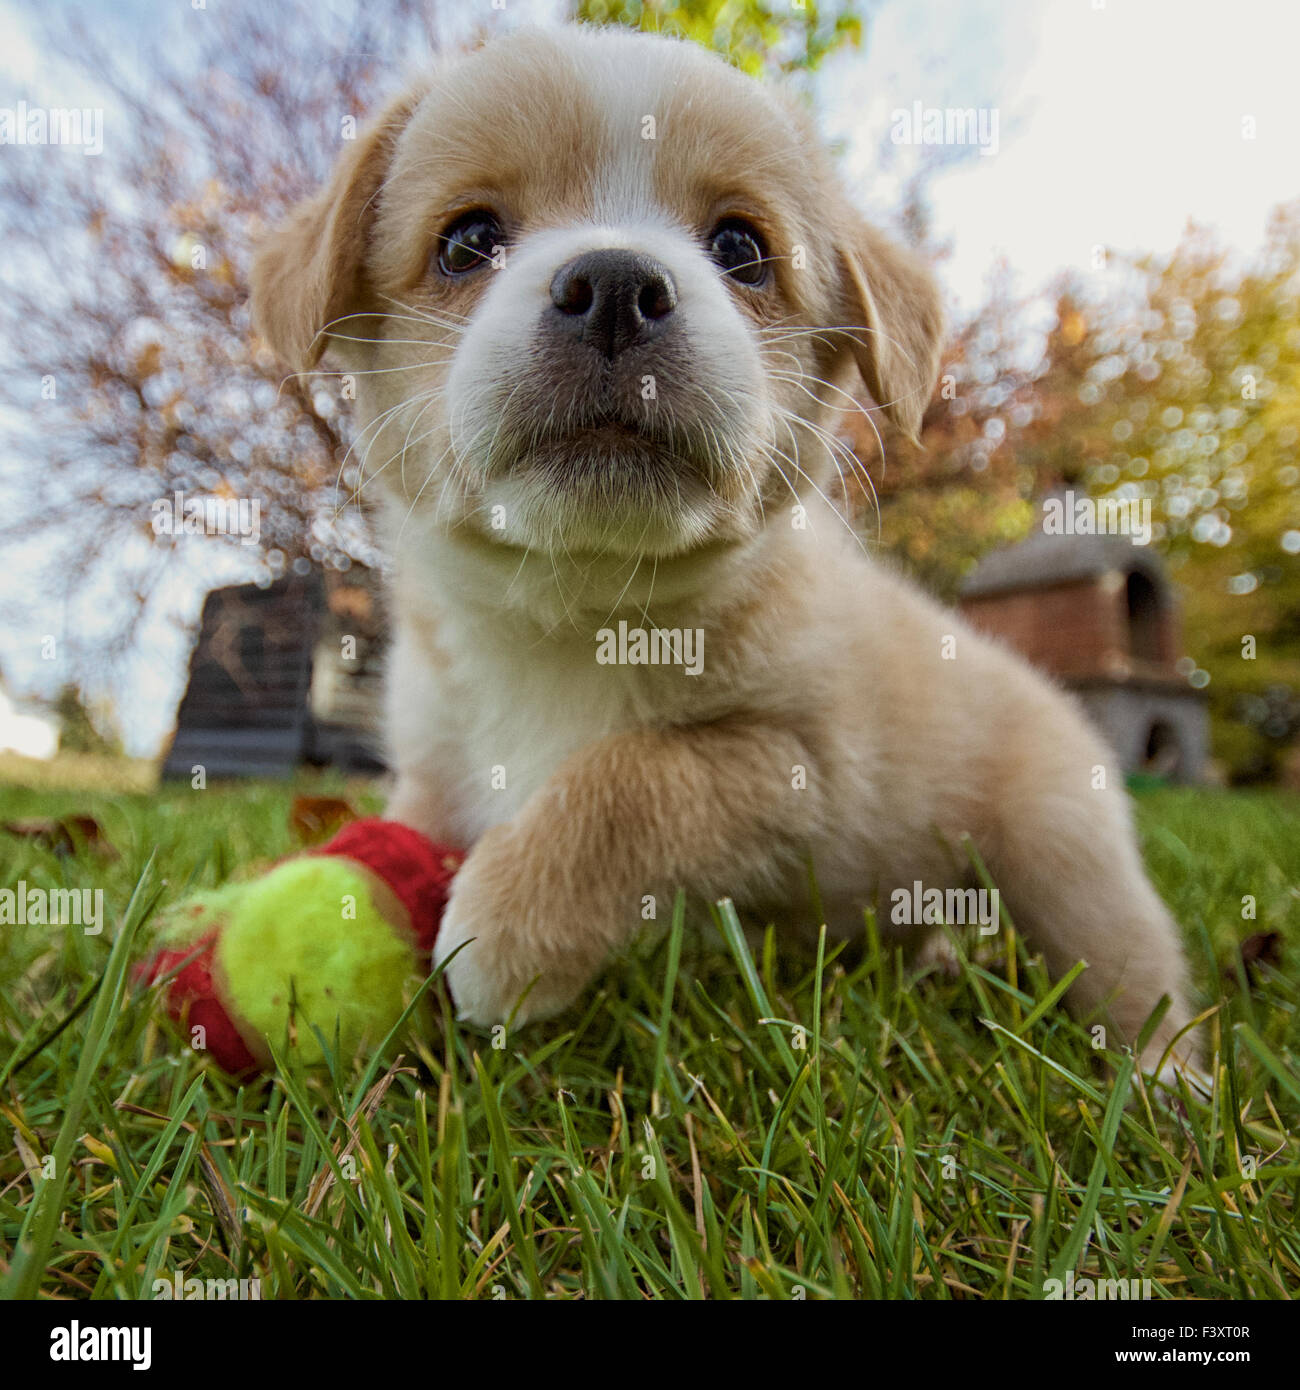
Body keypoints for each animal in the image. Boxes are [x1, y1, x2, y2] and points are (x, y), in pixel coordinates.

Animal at [251, 27, 1201, 1078]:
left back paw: (1168, 1085)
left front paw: (506, 931)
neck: (575, 608)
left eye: (741, 249)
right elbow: (412, 830)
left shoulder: (794, 766)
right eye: (466, 242)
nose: (615, 285)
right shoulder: (432, 772)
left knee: (1138, 980)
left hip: (1067, 860)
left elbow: (631, 775)